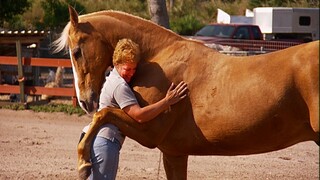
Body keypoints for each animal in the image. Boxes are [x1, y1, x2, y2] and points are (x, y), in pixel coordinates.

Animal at [53, 6, 318, 179]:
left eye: (76, 51)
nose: (85, 101)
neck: (158, 57)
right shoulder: (174, 153)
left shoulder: (149, 132)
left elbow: (104, 114)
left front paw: (83, 163)